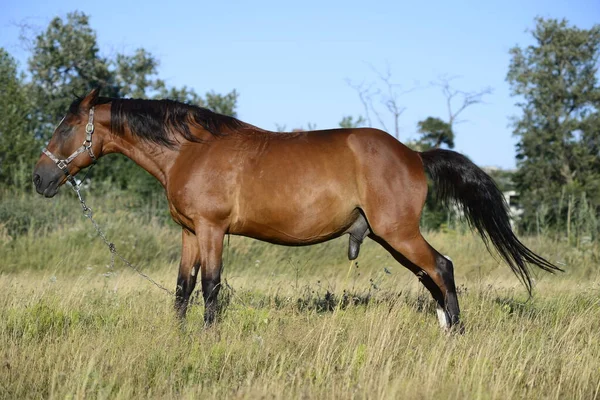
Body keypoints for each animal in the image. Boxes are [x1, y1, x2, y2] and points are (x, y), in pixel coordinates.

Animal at [31, 89, 556, 330]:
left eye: (65, 127)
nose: (39, 178)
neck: (190, 150)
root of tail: (412, 154)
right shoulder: (189, 233)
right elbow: (183, 288)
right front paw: (177, 335)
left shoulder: (212, 230)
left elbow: (210, 287)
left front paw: (206, 336)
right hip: (391, 236)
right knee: (432, 277)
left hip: (398, 232)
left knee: (442, 268)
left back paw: (456, 333)